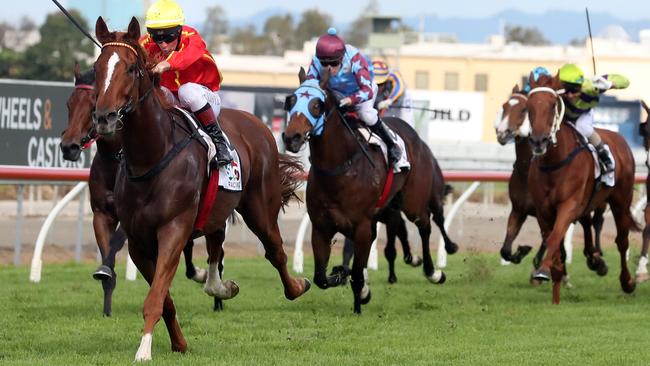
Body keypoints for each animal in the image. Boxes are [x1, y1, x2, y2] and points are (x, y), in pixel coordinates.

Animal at [59, 64, 209, 316]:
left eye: (92, 104)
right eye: (69, 104)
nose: (68, 146)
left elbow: (118, 242)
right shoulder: (102, 213)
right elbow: (107, 256)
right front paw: (106, 305)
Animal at [92, 17, 312, 360]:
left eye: (130, 68)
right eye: (97, 67)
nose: (104, 117)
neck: (151, 155)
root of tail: (258, 124)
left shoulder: (174, 228)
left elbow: (155, 297)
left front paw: (143, 351)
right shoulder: (139, 241)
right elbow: (164, 298)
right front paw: (178, 342)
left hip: (260, 207)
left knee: (275, 250)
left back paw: (296, 286)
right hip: (216, 209)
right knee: (216, 245)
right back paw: (220, 286)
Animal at [282, 68, 456, 312]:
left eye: (317, 104)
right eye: (291, 101)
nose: (291, 138)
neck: (340, 168)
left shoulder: (362, 226)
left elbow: (356, 271)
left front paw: (358, 302)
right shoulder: (321, 227)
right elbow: (321, 278)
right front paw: (342, 275)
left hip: (414, 201)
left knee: (425, 224)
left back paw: (434, 271)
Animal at [496, 84, 608, 276]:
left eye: (523, 109)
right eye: (504, 107)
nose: (502, 132)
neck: (526, 170)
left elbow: (550, 239)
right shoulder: (519, 209)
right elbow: (506, 249)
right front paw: (522, 251)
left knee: (595, 222)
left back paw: (596, 257)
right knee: (586, 222)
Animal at [524, 73, 636, 304]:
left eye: (552, 105)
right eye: (529, 107)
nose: (539, 141)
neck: (554, 162)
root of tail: (619, 139)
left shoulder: (568, 205)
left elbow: (555, 236)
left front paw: (544, 270)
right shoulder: (543, 210)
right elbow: (552, 240)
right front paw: (555, 280)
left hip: (621, 201)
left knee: (622, 241)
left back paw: (627, 281)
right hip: (589, 202)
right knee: (587, 222)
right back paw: (595, 260)